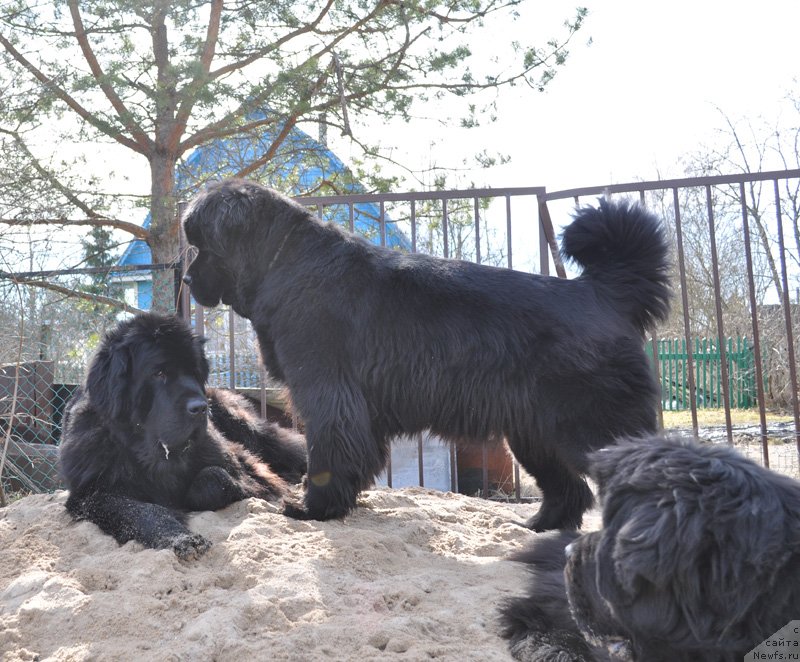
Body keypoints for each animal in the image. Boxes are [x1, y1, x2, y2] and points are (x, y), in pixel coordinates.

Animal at [57, 312, 308, 560]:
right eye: (159, 373)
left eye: (195, 372)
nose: (200, 407)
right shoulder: (91, 492)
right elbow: (140, 510)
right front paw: (182, 539)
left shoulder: (245, 471)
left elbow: (213, 479)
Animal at [180, 182, 668, 536]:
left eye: (202, 245)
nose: (184, 278)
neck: (284, 264)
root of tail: (601, 292)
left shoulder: (327, 391)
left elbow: (328, 453)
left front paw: (311, 507)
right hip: (535, 433)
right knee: (568, 491)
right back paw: (537, 527)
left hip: (588, 426)